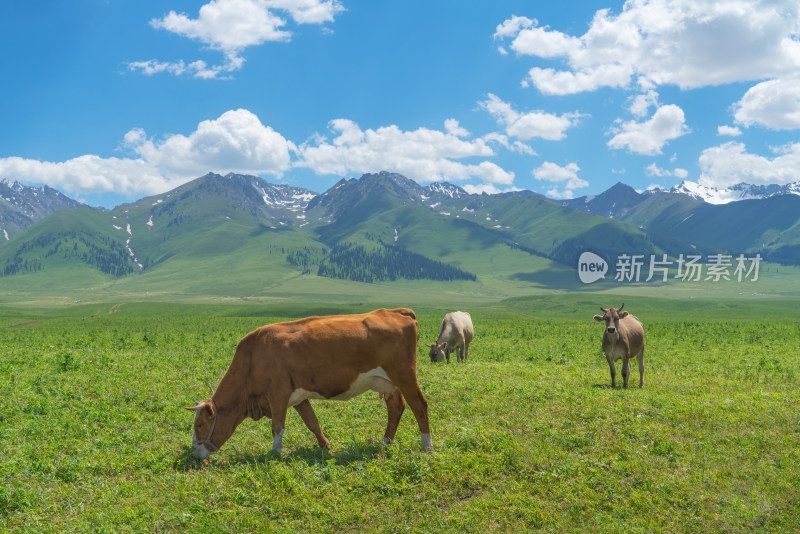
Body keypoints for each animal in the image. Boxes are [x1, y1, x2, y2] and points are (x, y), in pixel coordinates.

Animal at [185, 310, 432, 460]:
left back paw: (426, 445)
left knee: (419, 405)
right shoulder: (298, 397)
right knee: (396, 408)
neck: (253, 357)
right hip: (389, 383)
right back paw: (385, 442)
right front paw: (325, 446)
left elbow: (277, 426)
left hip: (405, 376)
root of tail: (396, 311)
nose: (194, 454)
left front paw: (275, 453)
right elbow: (312, 422)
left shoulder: (277, 395)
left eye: (200, 425)